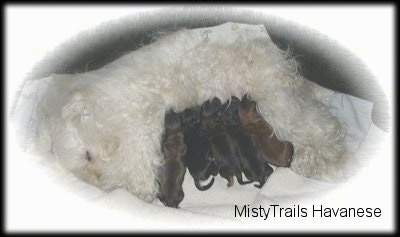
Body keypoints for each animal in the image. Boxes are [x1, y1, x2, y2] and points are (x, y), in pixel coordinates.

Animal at [14, 27, 354, 202]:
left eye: (88, 156)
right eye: (85, 168)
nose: (103, 186)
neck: (102, 109)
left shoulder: (139, 127)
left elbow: (136, 161)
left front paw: (138, 186)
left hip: (275, 105)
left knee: (321, 129)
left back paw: (318, 162)